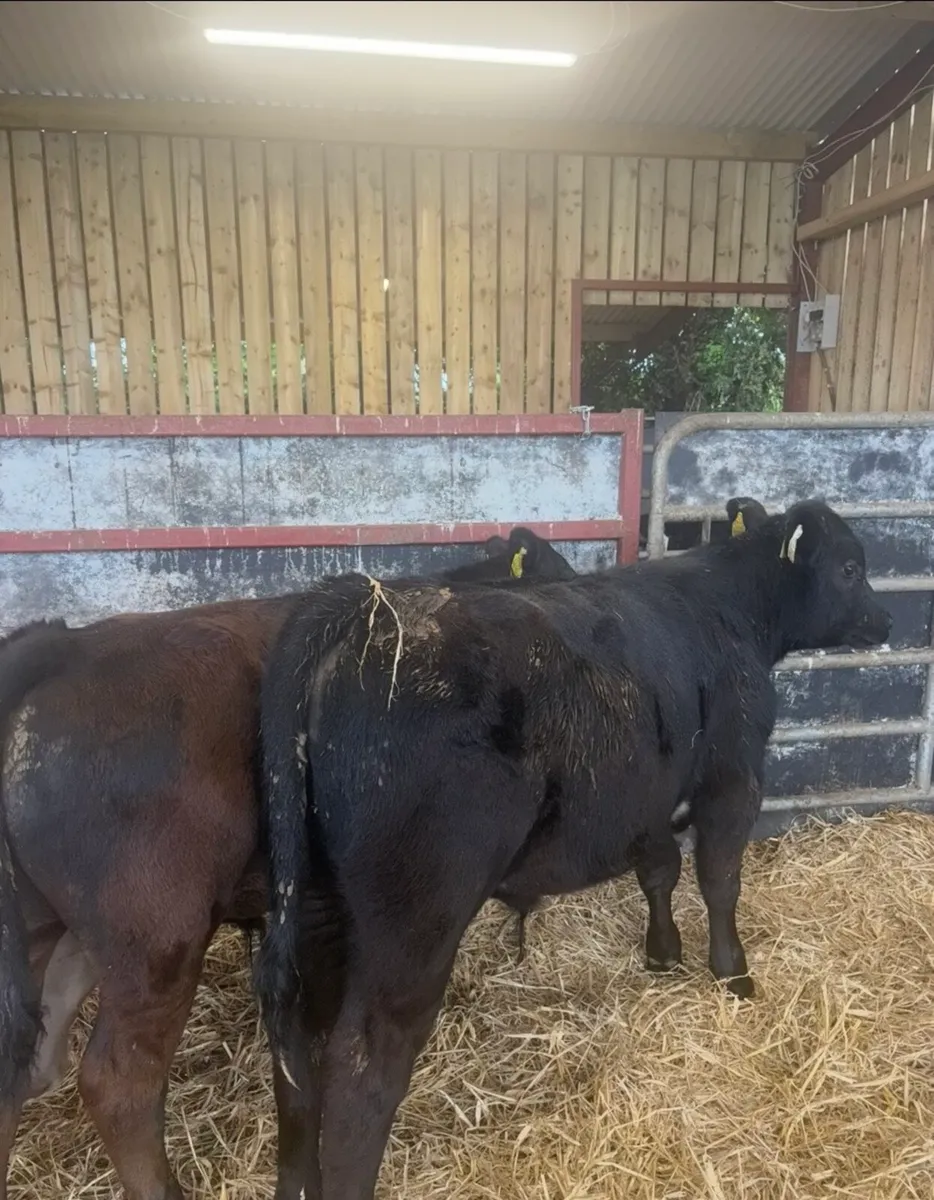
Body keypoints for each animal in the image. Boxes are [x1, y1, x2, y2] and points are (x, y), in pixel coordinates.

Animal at [254, 498, 892, 1200]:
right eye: (851, 567)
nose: (887, 618)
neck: (726, 605)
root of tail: (357, 604)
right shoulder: (733, 777)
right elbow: (719, 880)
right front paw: (733, 974)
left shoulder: (643, 794)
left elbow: (660, 870)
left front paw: (662, 952)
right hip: (413, 920)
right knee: (363, 1066)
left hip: (310, 904)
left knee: (294, 1048)